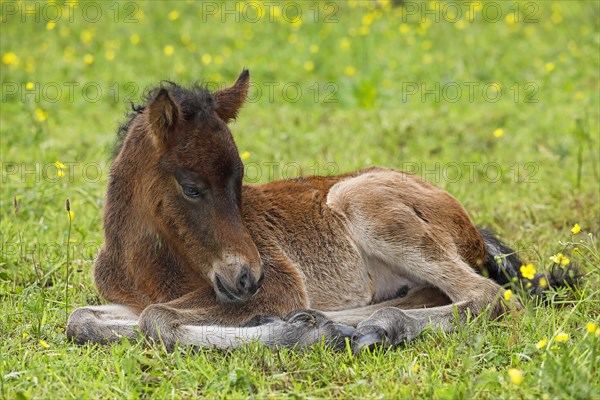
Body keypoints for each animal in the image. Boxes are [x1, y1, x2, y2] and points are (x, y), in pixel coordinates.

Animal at [70, 71, 556, 354]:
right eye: (192, 188)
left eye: (240, 182)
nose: (248, 278)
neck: (147, 266)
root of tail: (470, 226)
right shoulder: (133, 299)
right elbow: (82, 319)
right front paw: (302, 327)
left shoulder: (280, 287)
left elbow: (157, 319)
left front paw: (296, 332)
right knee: (434, 295)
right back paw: (345, 324)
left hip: (360, 201)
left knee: (486, 295)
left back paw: (370, 327)